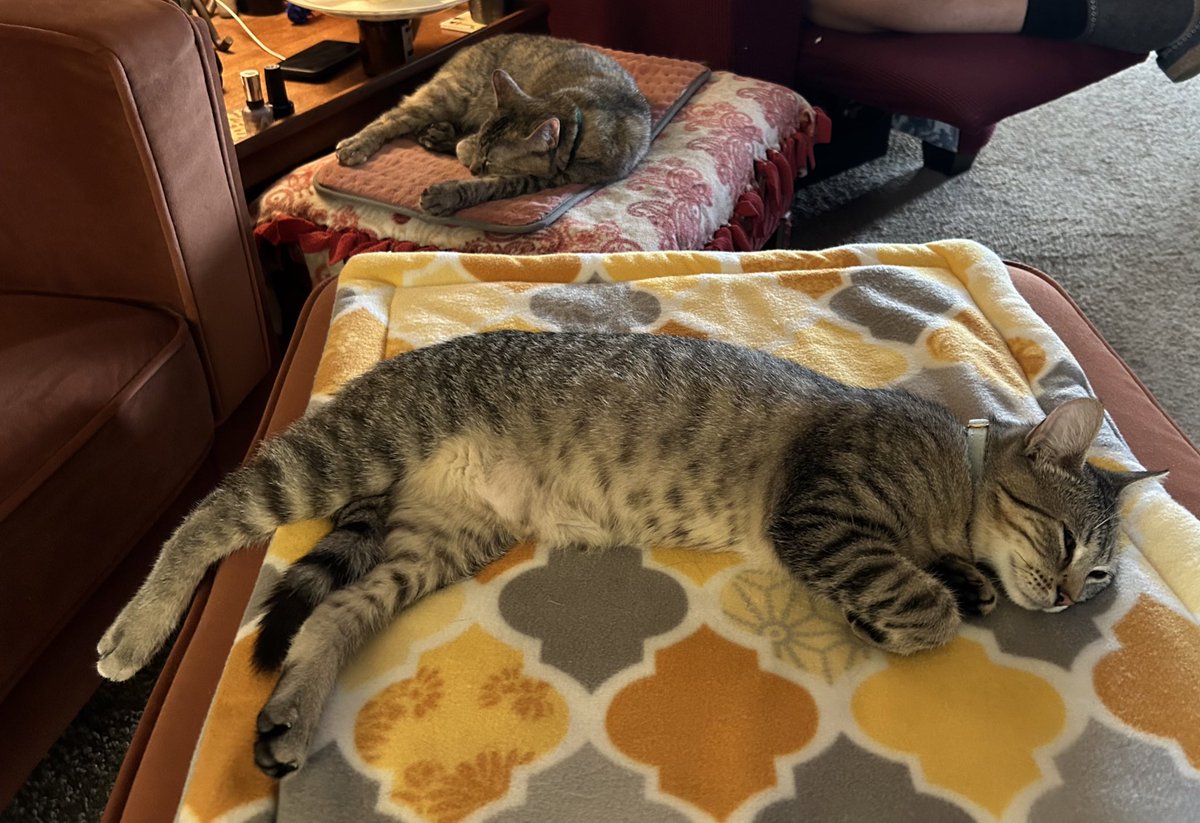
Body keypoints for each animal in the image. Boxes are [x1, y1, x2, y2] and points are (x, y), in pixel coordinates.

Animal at [96, 326, 1161, 772]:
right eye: (1069, 539)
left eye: (1103, 572)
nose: (1070, 597)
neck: (954, 470)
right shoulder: (818, 512)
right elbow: (926, 605)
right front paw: (906, 613)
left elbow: (946, 583)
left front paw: (953, 587)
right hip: (339, 454)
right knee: (213, 511)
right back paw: (136, 628)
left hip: (435, 540)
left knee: (332, 614)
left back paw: (289, 711)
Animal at [331, 34, 648, 217]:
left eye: (490, 162)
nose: (473, 168)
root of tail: (472, 43)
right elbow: (466, 149)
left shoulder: (543, 178)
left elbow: (489, 185)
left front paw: (449, 193)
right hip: (446, 96)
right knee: (392, 116)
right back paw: (357, 144)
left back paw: (437, 135)